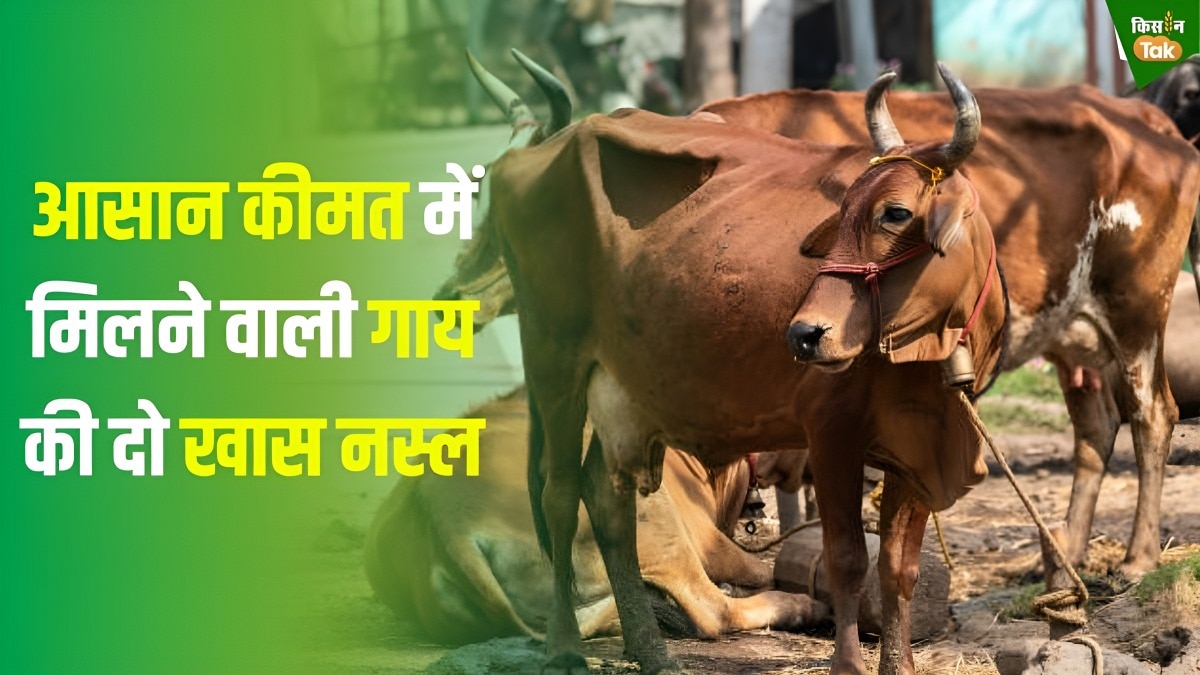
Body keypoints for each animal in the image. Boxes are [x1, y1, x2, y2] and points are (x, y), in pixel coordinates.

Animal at [364, 385, 828, 645]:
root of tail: (442, 513)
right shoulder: (709, 538)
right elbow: (758, 567)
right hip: (649, 515)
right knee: (713, 611)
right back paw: (801, 605)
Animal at [469, 49, 1006, 675]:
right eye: (844, 208)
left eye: (895, 213)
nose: (805, 335)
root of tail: (550, 145)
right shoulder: (831, 429)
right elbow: (848, 558)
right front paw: (848, 665)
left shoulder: (917, 443)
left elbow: (899, 566)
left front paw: (898, 664)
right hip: (553, 358)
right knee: (557, 495)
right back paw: (563, 648)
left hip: (620, 388)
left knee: (606, 499)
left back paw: (651, 651)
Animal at [694, 81, 1200, 586]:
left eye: (895, 213)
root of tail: (1146, 119)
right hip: (1073, 333)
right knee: (1095, 426)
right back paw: (1064, 555)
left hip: (1137, 307)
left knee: (1152, 413)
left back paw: (1138, 558)